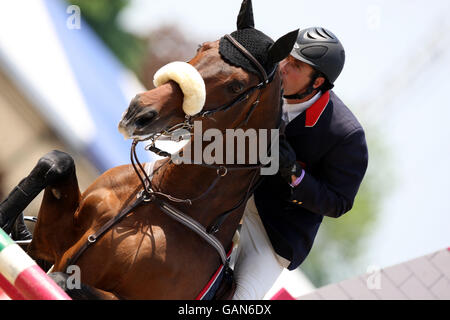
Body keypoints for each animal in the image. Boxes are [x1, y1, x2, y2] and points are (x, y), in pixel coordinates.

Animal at [0, 0, 298, 300]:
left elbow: (60, 280)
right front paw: (7, 221)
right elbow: (57, 161)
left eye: (236, 86)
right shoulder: (52, 243)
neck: (157, 197)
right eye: (202, 47)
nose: (138, 111)